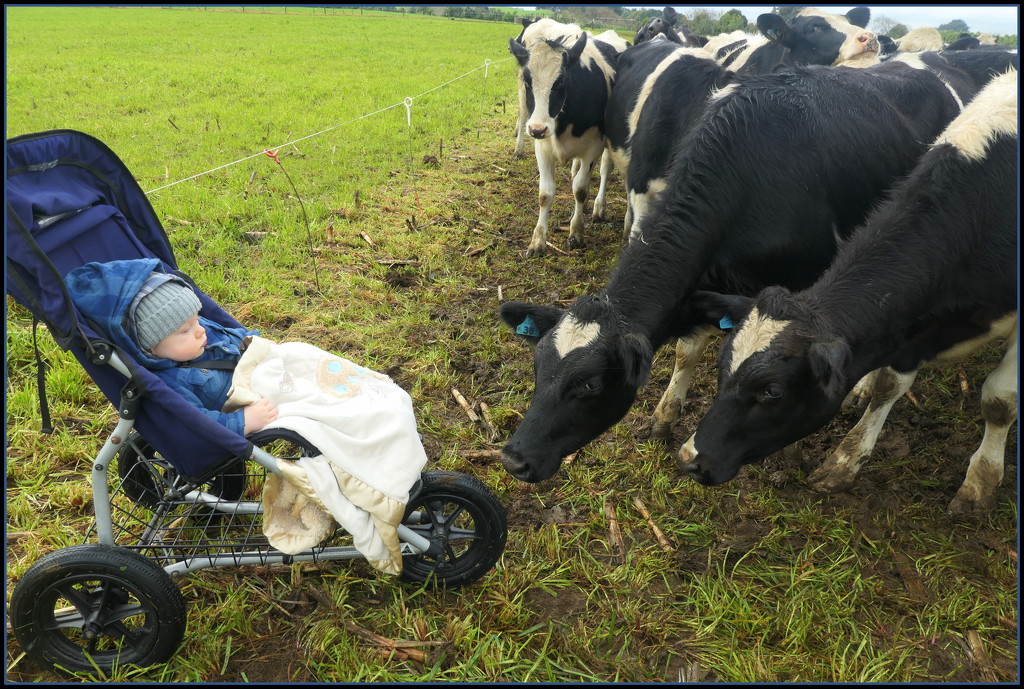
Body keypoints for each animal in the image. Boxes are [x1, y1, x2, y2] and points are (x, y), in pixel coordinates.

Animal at [499, 53, 978, 481]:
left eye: (590, 385)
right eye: (538, 367)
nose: (514, 458)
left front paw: (790, 446)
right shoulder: (704, 286)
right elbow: (686, 350)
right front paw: (665, 414)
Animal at [507, 21, 626, 257]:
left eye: (560, 80)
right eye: (528, 80)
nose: (537, 129)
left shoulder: (594, 146)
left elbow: (580, 190)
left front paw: (576, 234)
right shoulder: (543, 147)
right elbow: (545, 194)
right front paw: (537, 241)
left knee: (605, 169)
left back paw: (598, 208)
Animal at [679, 68, 1015, 515]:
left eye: (772, 391)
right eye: (721, 364)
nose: (690, 458)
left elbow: (999, 400)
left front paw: (980, 483)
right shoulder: (908, 321)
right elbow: (890, 383)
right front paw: (846, 459)